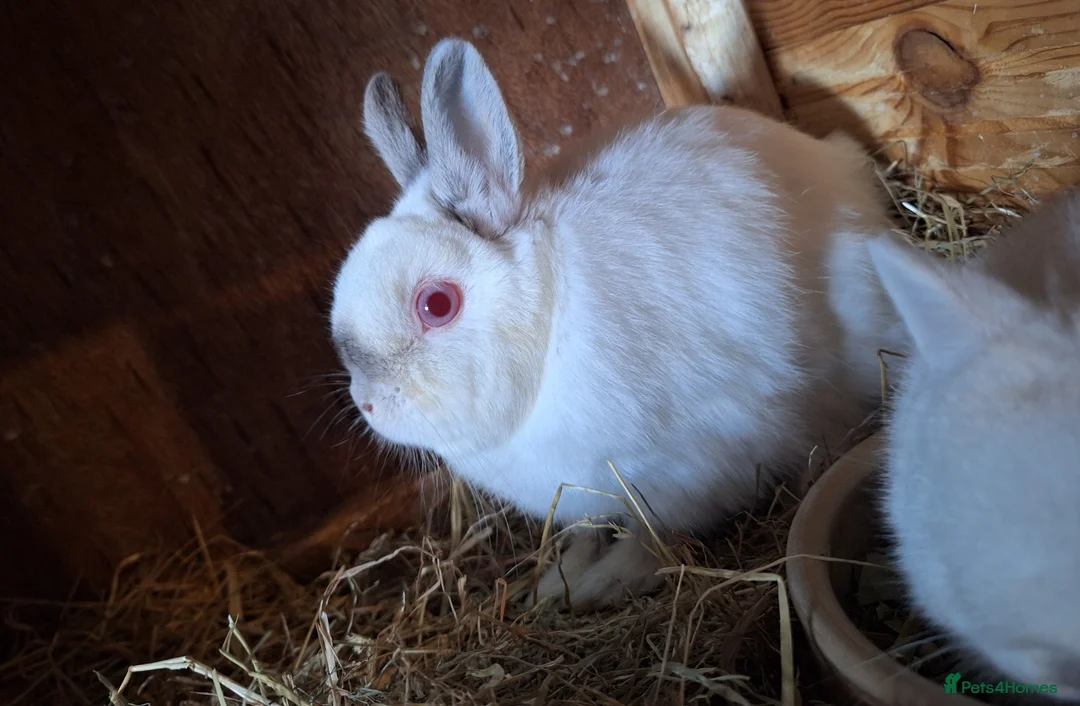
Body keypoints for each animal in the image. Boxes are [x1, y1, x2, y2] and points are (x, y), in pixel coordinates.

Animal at [330, 37, 908, 611]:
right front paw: (553, 585)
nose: (369, 404)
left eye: (437, 304)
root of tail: (844, 170)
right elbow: (588, 533)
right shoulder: (580, 498)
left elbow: (649, 537)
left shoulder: (682, 476)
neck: (551, 318)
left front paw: (602, 584)